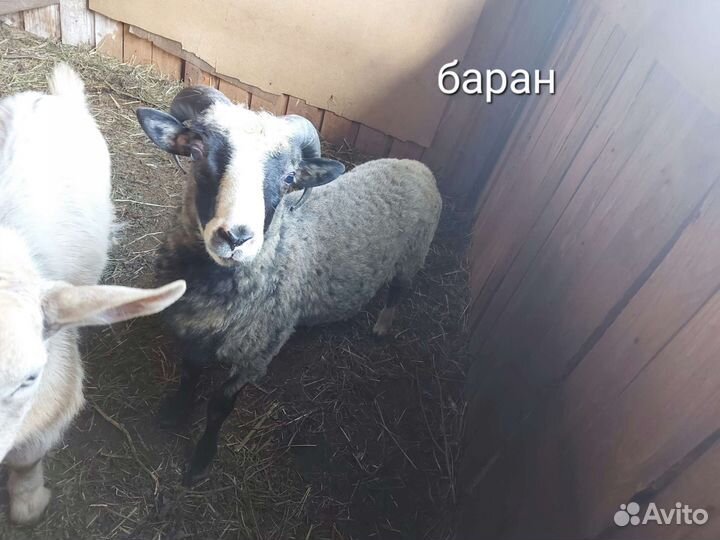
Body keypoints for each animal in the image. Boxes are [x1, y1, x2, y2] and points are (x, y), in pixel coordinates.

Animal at [136, 86, 442, 485]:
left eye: (289, 177)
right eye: (198, 151)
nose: (236, 237)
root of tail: (413, 164)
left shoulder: (255, 354)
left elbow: (219, 406)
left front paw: (201, 461)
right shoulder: (193, 332)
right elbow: (188, 374)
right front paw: (174, 412)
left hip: (412, 256)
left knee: (398, 292)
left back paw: (382, 326)